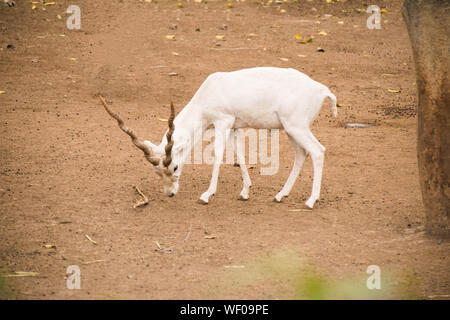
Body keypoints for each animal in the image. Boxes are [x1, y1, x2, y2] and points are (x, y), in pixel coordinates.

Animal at [100, 66, 336, 209]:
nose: (170, 193)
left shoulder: (222, 122)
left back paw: (310, 200)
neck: (210, 92)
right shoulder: (233, 127)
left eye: (174, 167)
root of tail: (323, 90)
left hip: (297, 127)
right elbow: (239, 155)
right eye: (157, 171)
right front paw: (244, 192)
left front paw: (206, 194)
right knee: (301, 155)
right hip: (290, 129)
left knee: (318, 152)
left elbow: (219, 155)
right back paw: (280, 195)